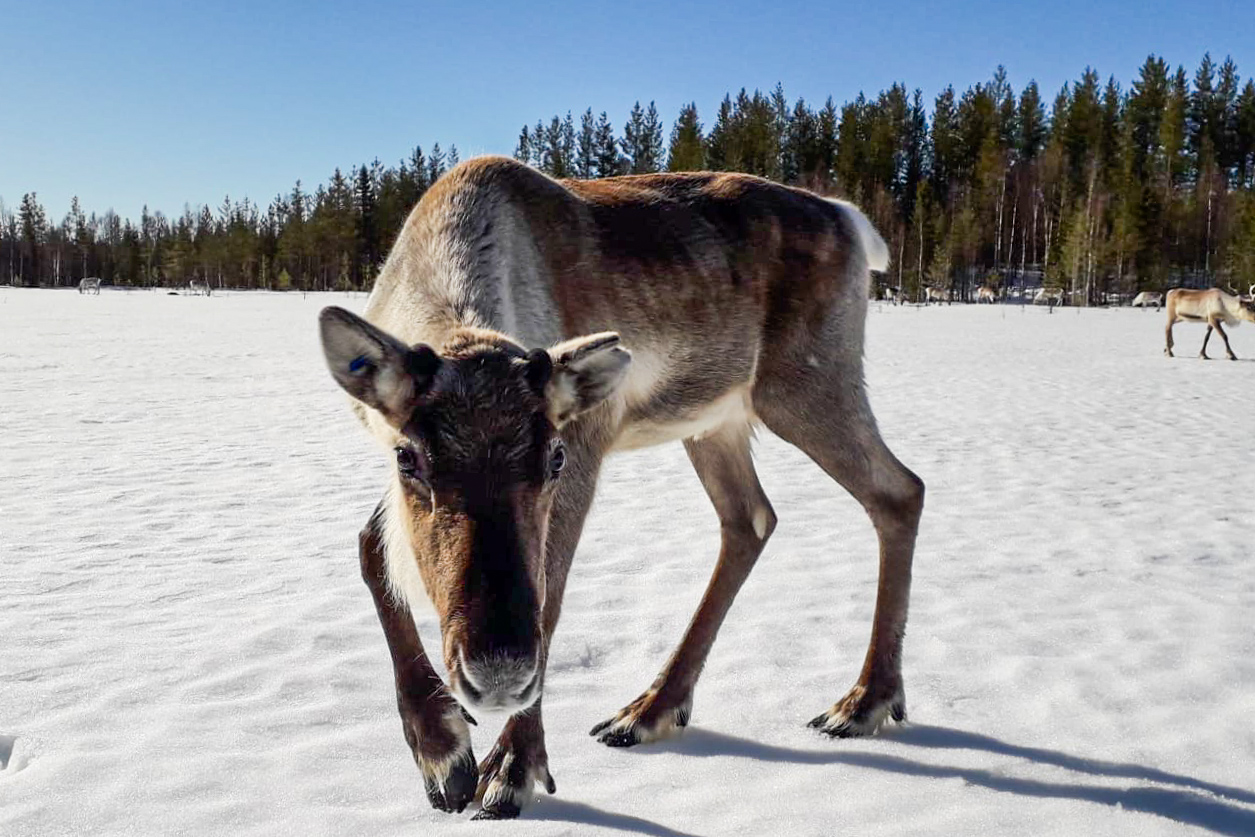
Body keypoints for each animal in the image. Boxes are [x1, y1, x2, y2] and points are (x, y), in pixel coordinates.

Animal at [318, 157, 924, 819]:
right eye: (409, 458)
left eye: (553, 458)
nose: (499, 674)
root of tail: (851, 219)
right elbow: (370, 549)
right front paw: (442, 751)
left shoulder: (587, 444)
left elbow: (549, 600)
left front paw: (511, 768)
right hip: (715, 421)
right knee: (751, 518)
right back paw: (652, 709)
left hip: (806, 384)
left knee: (900, 491)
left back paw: (864, 701)